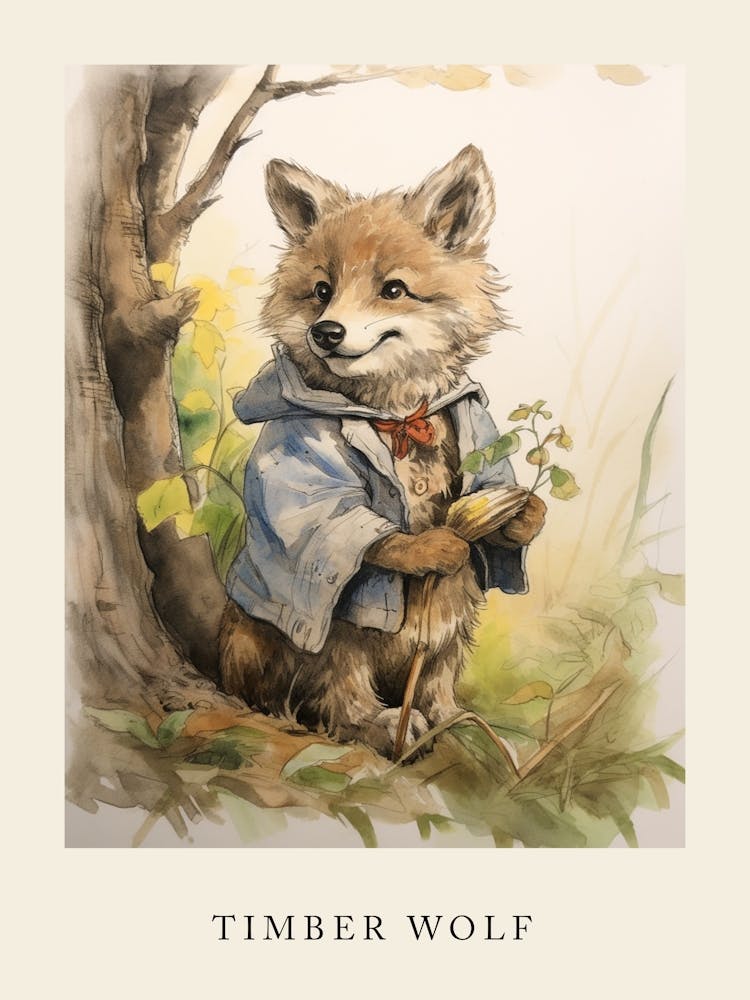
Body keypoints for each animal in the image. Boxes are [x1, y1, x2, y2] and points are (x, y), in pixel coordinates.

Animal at [218, 145, 546, 757]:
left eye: (393, 289)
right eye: (322, 290)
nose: (325, 332)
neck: (396, 418)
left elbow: (500, 502)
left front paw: (523, 514)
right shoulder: (307, 477)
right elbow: (366, 532)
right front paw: (433, 546)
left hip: (454, 614)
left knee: (437, 675)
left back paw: (447, 721)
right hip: (333, 635)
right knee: (331, 690)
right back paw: (376, 725)